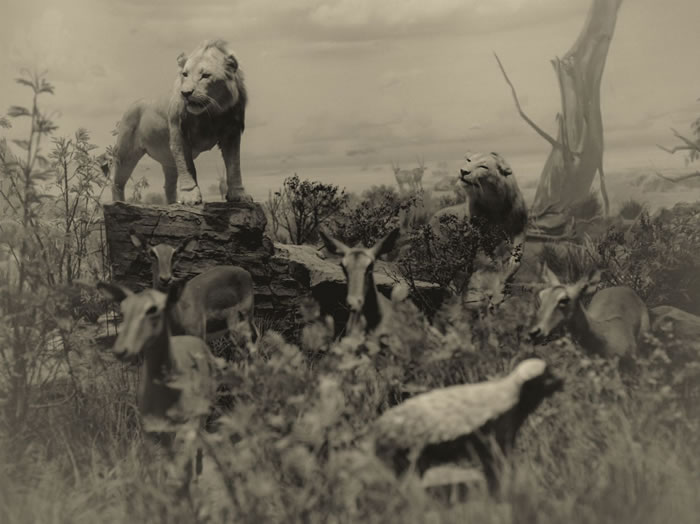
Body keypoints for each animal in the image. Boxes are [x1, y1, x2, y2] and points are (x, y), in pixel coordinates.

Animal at [103, 39, 249, 205]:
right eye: (185, 74)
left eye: (205, 75)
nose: (185, 93)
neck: (210, 112)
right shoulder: (179, 132)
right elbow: (187, 166)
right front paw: (190, 197)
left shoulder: (232, 132)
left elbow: (234, 164)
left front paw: (239, 195)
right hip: (125, 152)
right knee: (116, 181)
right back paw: (118, 203)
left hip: (167, 159)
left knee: (168, 185)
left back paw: (172, 203)